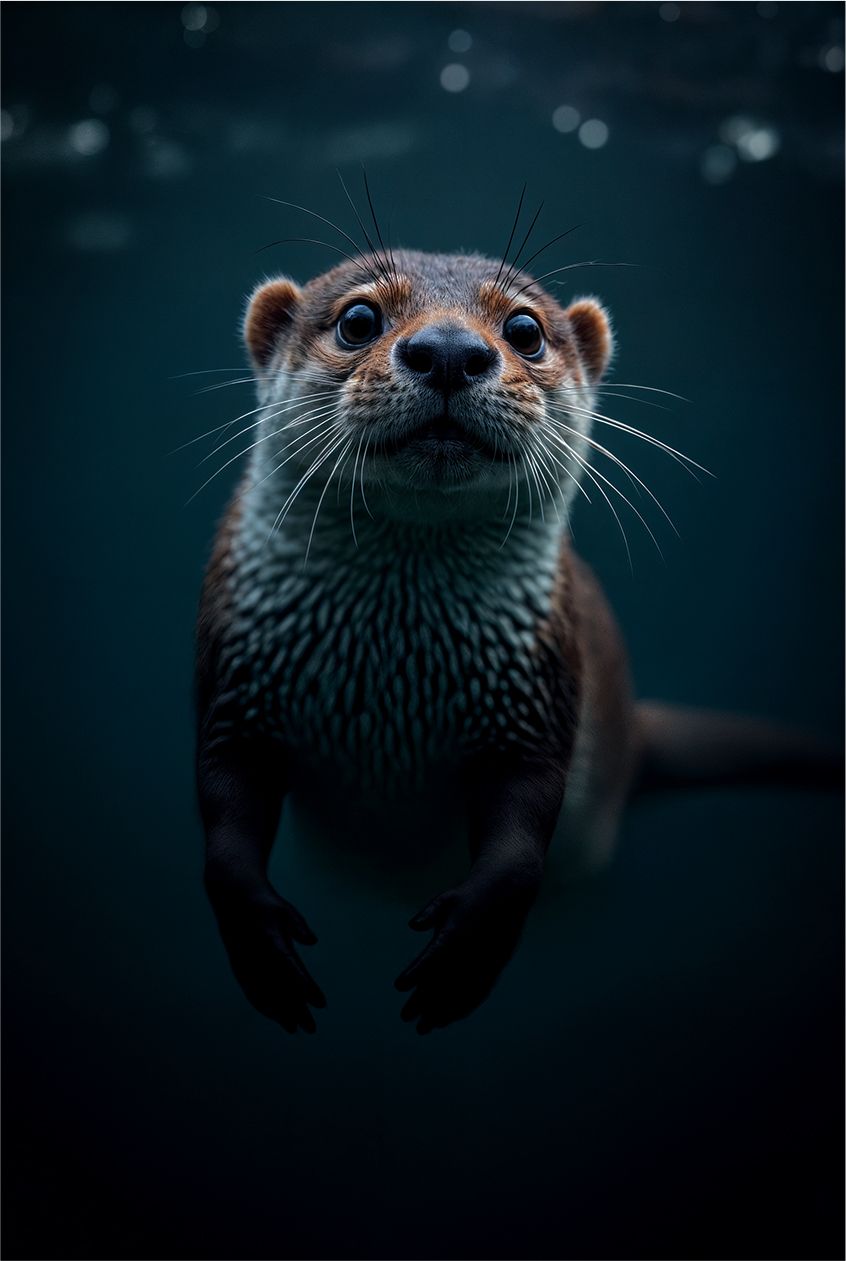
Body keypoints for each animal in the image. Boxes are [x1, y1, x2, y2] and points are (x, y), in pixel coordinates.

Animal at [196, 245, 839, 1035]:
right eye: (358, 319)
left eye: (525, 330)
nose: (448, 350)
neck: (396, 665)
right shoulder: (238, 672)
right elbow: (226, 799)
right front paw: (259, 939)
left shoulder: (535, 690)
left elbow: (523, 825)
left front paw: (466, 950)